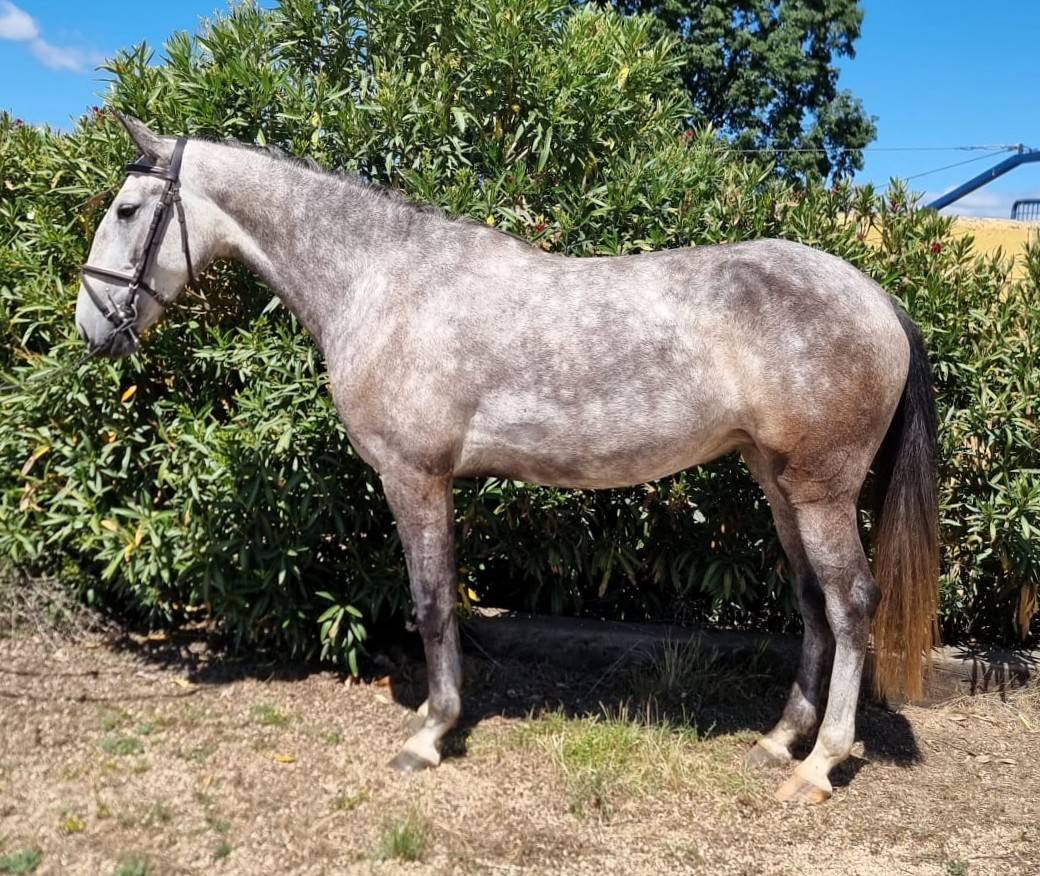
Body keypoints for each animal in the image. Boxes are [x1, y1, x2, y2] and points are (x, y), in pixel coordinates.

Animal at [75, 115, 938, 804]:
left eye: (126, 210)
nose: (92, 327)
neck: (385, 283)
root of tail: (877, 297)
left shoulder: (413, 477)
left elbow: (430, 602)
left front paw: (430, 734)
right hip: (777, 480)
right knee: (812, 601)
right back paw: (779, 741)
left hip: (820, 490)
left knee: (851, 602)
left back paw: (819, 766)